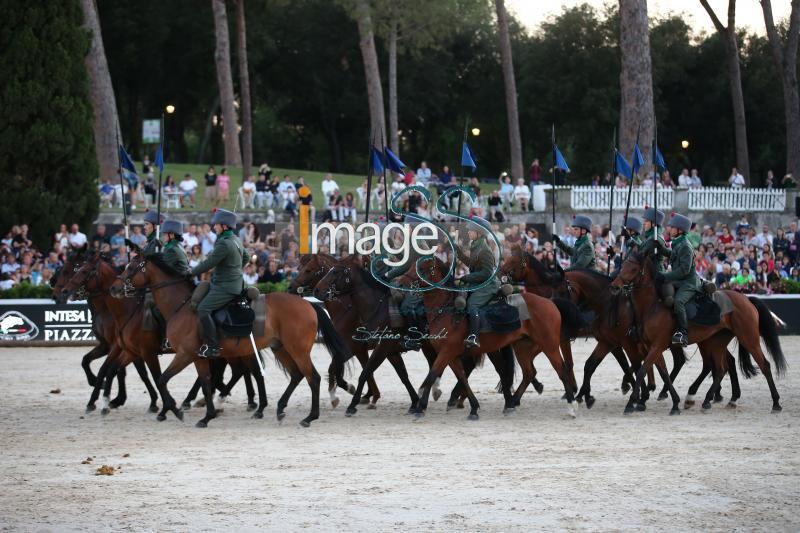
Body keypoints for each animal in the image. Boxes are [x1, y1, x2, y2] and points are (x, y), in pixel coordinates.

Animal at [109, 249, 350, 428]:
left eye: (131, 267)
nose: (115, 287)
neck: (183, 305)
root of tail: (307, 303)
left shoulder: (184, 354)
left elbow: (162, 379)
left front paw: (175, 410)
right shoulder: (198, 357)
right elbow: (206, 383)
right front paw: (207, 415)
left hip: (297, 350)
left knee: (313, 378)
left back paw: (310, 417)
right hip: (280, 348)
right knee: (296, 375)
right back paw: (280, 408)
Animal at [396, 256, 580, 418]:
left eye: (421, 269)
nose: (400, 284)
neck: (447, 311)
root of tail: (549, 302)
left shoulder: (447, 352)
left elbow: (433, 374)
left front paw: (420, 407)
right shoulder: (451, 355)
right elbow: (462, 378)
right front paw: (474, 408)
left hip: (549, 345)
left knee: (562, 371)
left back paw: (571, 407)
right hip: (522, 347)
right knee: (529, 373)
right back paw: (511, 403)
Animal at [612, 251, 788, 414]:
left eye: (633, 268)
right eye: (623, 265)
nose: (615, 286)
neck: (652, 306)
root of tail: (746, 298)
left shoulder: (657, 346)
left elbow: (643, 370)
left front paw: (631, 403)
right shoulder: (650, 347)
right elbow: (663, 373)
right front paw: (672, 402)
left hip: (748, 338)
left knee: (763, 365)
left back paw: (776, 403)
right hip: (716, 341)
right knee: (720, 368)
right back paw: (709, 400)